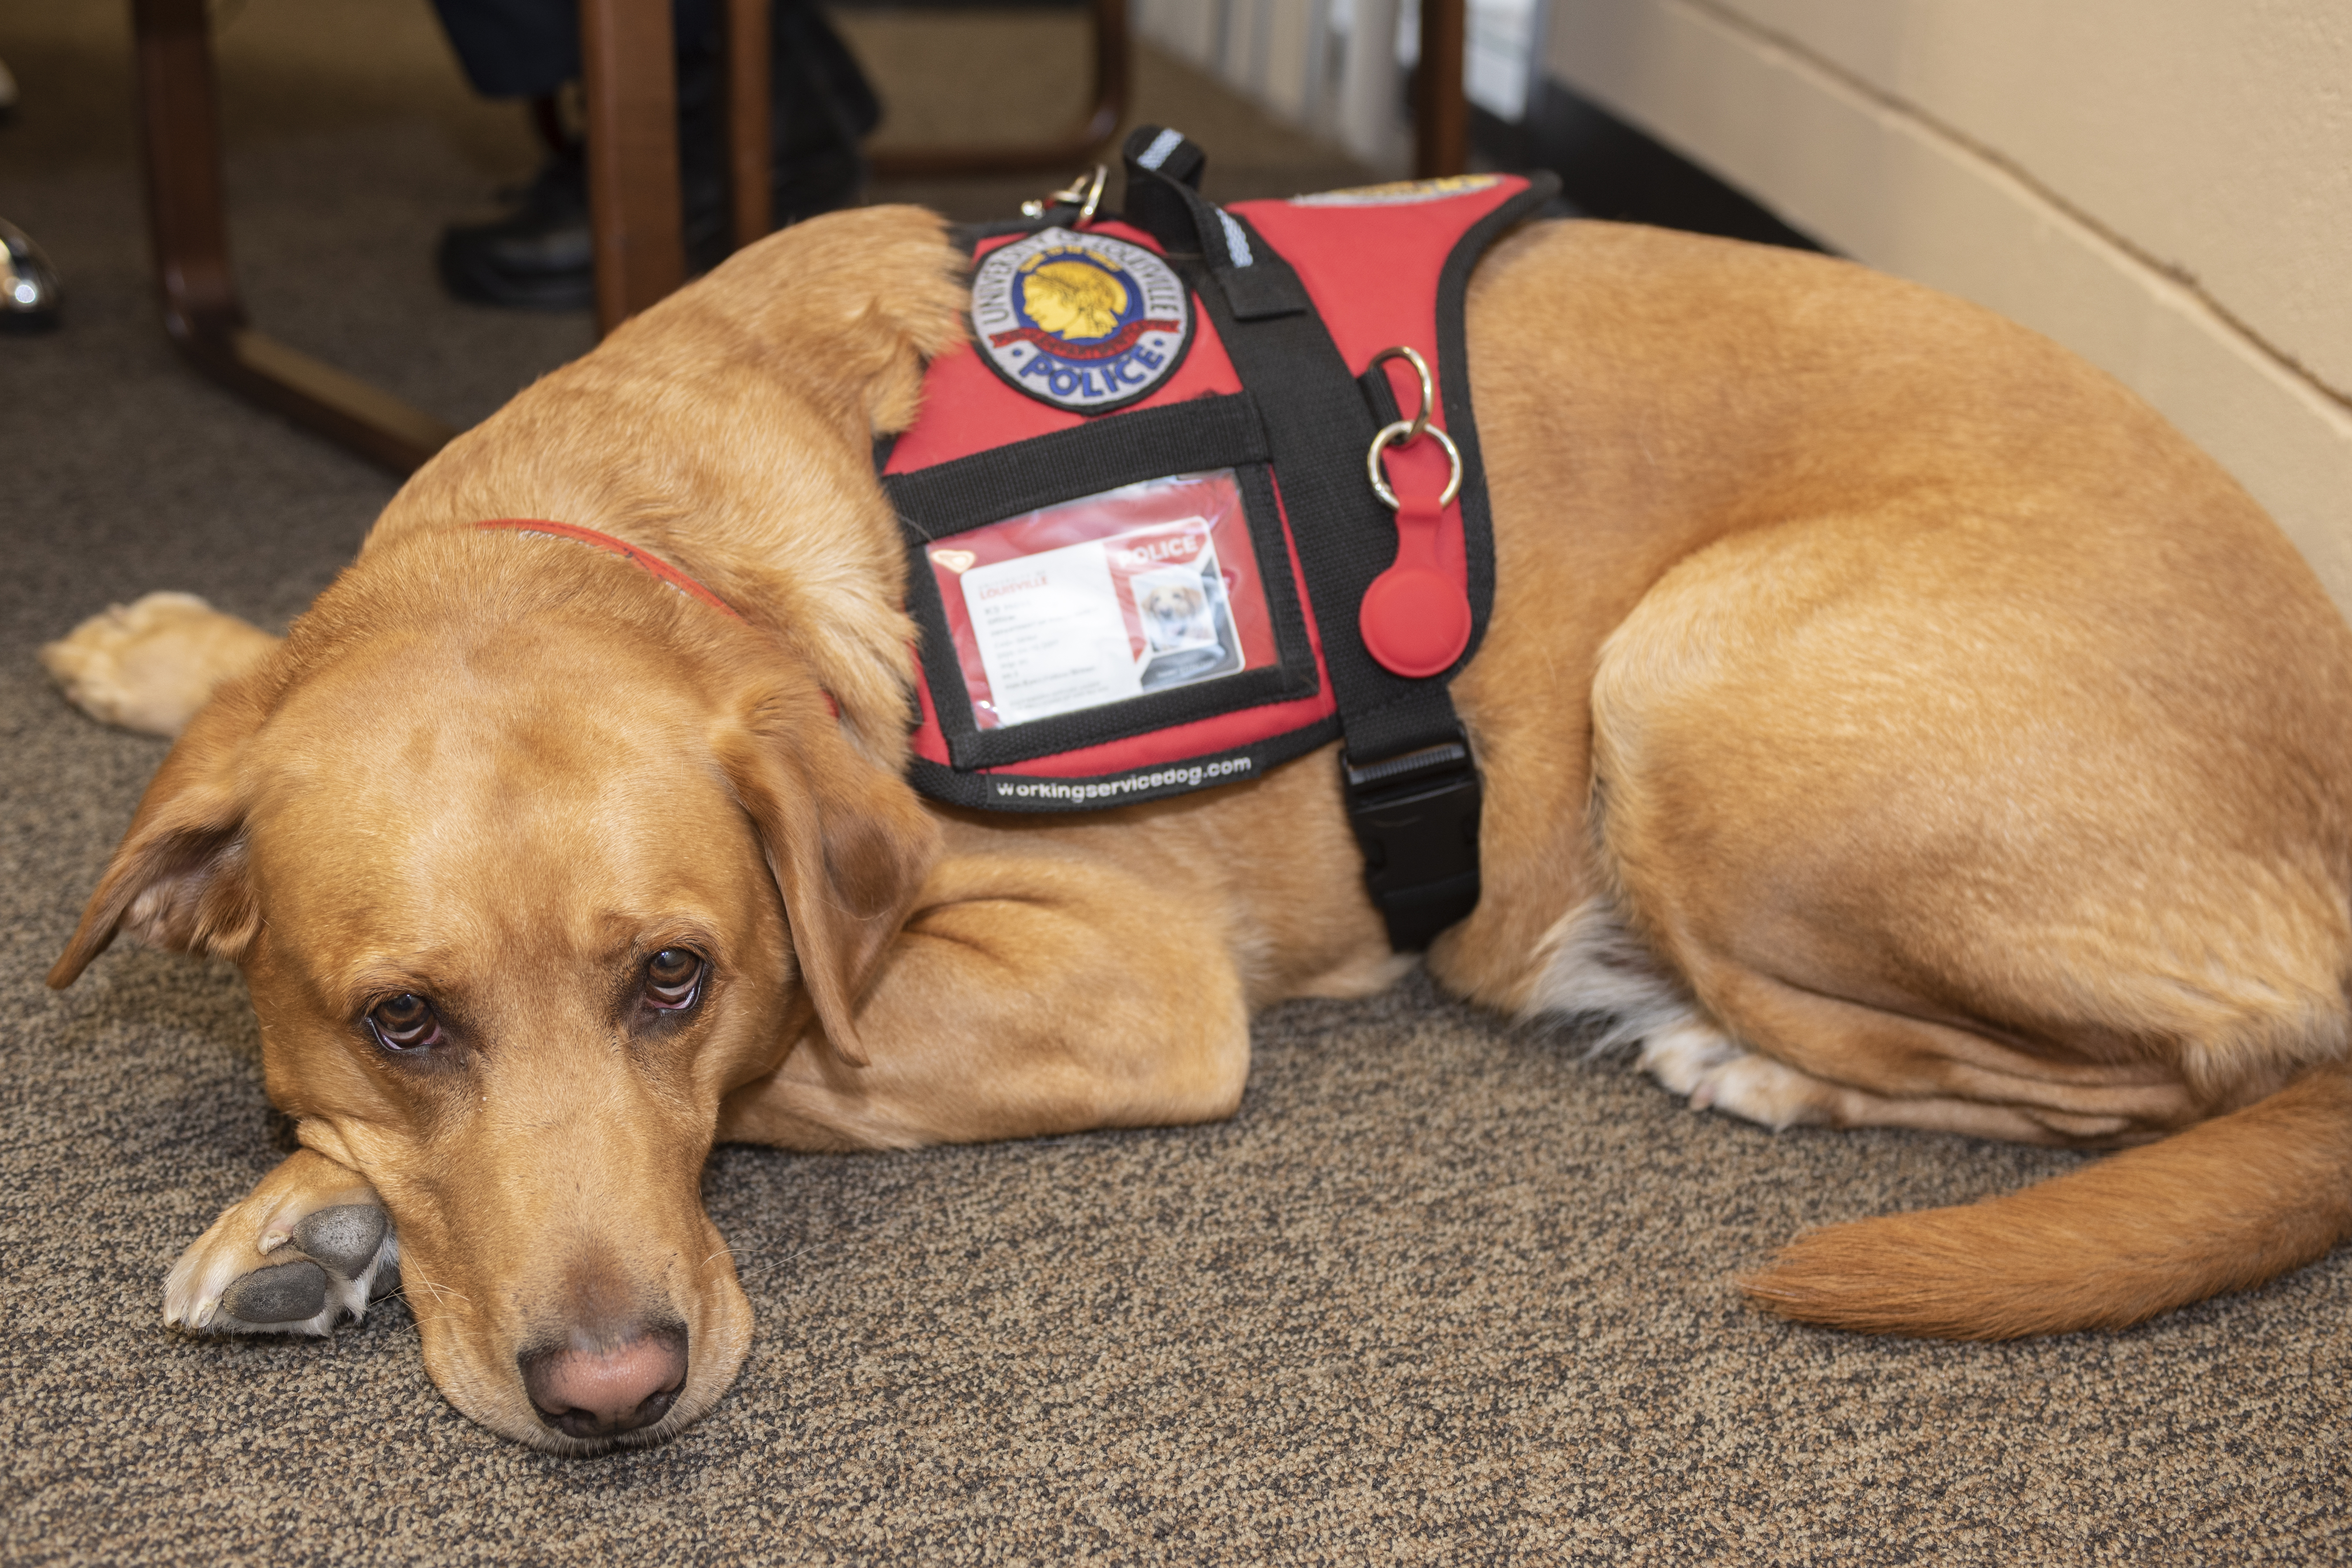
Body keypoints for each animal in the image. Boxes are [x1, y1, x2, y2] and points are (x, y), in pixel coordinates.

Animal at [46, 202, 2352, 1457]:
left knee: (2154, 1080)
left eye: (676, 982)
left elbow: (802, 1063)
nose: (611, 1388)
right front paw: (173, 659)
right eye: (403, 1020)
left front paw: (312, 1199)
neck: (640, 526)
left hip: (1692, 681)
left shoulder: (1121, 985)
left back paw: (1729, 1054)